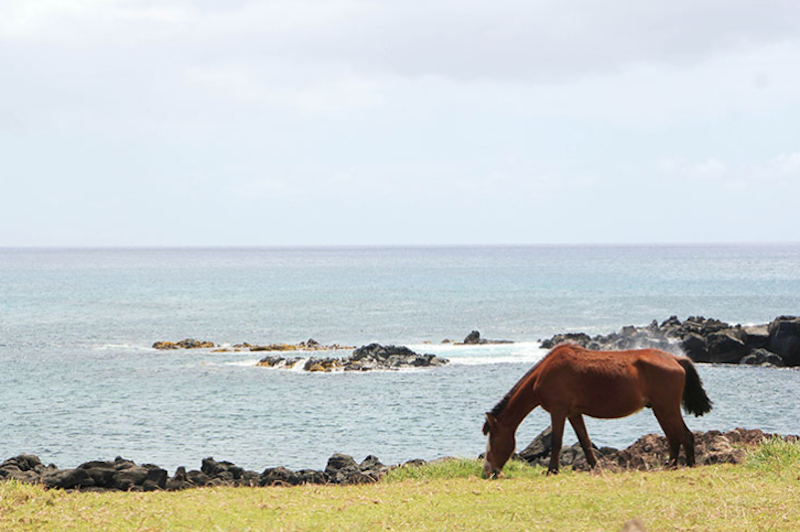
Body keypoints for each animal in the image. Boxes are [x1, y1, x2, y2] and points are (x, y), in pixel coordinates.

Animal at [482, 344, 713, 477]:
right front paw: (595, 467)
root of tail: (675, 359)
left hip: (667, 408)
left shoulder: (558, 411)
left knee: (685, 435)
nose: (488, 471)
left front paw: (552, 470)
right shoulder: (573, 413)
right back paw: (670, 466)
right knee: (673, 437)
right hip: (660, 409)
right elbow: (585, 441)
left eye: (492, 439)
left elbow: (556, 442)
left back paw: (689, 465)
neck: (545, 372)